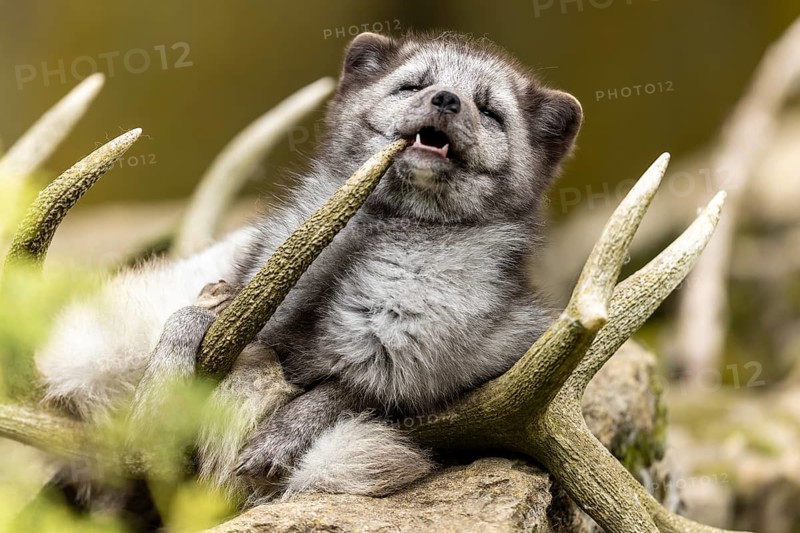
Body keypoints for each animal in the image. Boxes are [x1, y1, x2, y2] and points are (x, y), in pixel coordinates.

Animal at [35, 31, 583, 504]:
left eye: (489, 111)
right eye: (414, 85)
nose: (447, 100)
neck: (371, 234)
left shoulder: (462, 365)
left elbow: (346, 391)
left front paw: (277, 439)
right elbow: (188, 319)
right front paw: (159, 393)